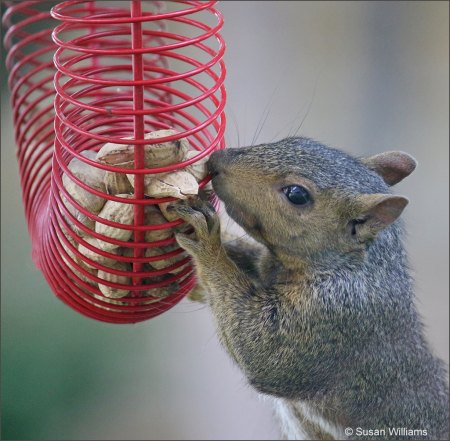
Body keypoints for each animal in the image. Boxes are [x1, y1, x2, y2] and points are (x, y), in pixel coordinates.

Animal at [170, 136, 450, 438]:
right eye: (294, 140)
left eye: (297, 195)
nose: (216, 161)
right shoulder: (267, 268)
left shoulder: (331, 316)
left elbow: (262, 354)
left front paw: (208, 241)